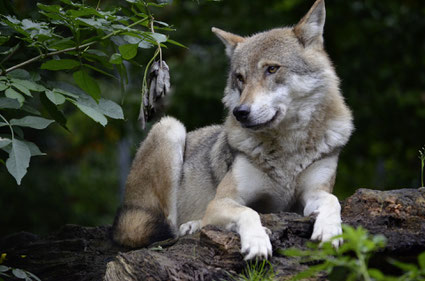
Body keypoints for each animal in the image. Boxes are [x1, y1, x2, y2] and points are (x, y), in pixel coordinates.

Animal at [112, 0, 352, 260]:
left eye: (271, 69)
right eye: (240, 78)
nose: (240, 112)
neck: (288, 147)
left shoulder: (312, 194)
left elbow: (333, 200)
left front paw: (330, 231)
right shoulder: (223, 201)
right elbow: (249, 212)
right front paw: (257, 242)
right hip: (170, 127)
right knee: (169, 226)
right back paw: (192, 225)